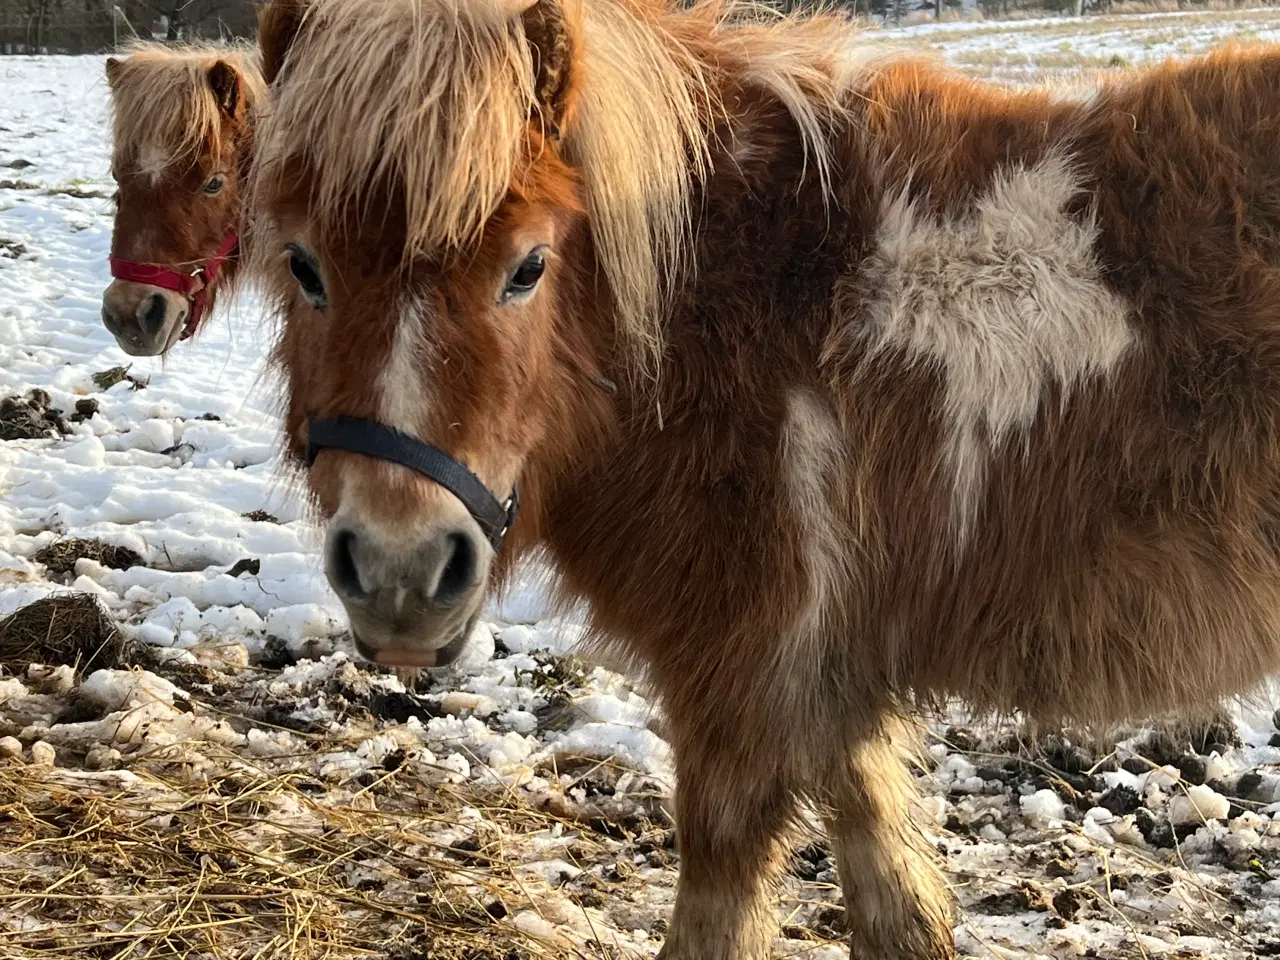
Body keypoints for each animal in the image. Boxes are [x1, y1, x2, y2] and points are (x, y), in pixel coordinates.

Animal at [247, 0, 1280, 957]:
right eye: (304, 264)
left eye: (527, 267)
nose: (401, 574)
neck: (731, 303)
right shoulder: (829, 685)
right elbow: (891, 893)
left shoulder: (744, 684)